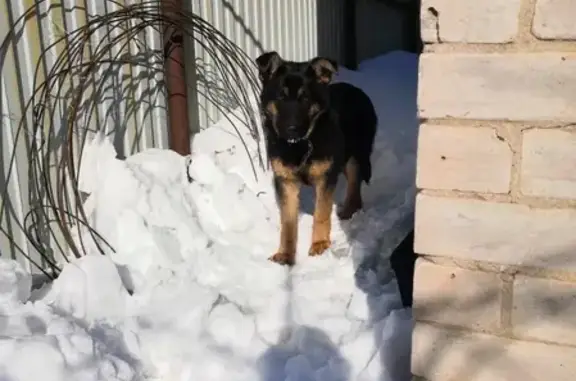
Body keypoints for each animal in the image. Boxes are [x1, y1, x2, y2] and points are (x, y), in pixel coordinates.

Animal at [256, 50, 378, 266]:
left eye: (305, 98)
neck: (300, 144)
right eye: (281, 97)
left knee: (355, 182)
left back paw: (349, 211)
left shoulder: (325, 178)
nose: (292, 129)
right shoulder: (285, 181)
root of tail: (357, 90)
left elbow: (321, 213)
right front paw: (285, 255)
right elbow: (288, 222)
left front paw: (320, 245)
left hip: (355, 155)